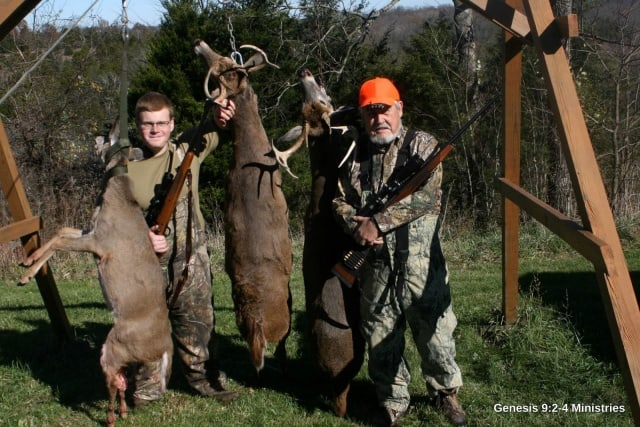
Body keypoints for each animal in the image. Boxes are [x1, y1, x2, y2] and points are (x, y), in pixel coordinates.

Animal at [19, 122, 173, 427]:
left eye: (105, 138)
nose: (98, 133)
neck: (114, 196)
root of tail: (163, 349)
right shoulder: (90, 232)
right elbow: (62, 230)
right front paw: (29, 261)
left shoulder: (100, 243)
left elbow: (60, 241)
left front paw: (26, 273)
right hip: (122, 356)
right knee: (121, 381)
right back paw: (123, 411)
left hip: (113, 348)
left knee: (113, 382)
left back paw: (112, 416)